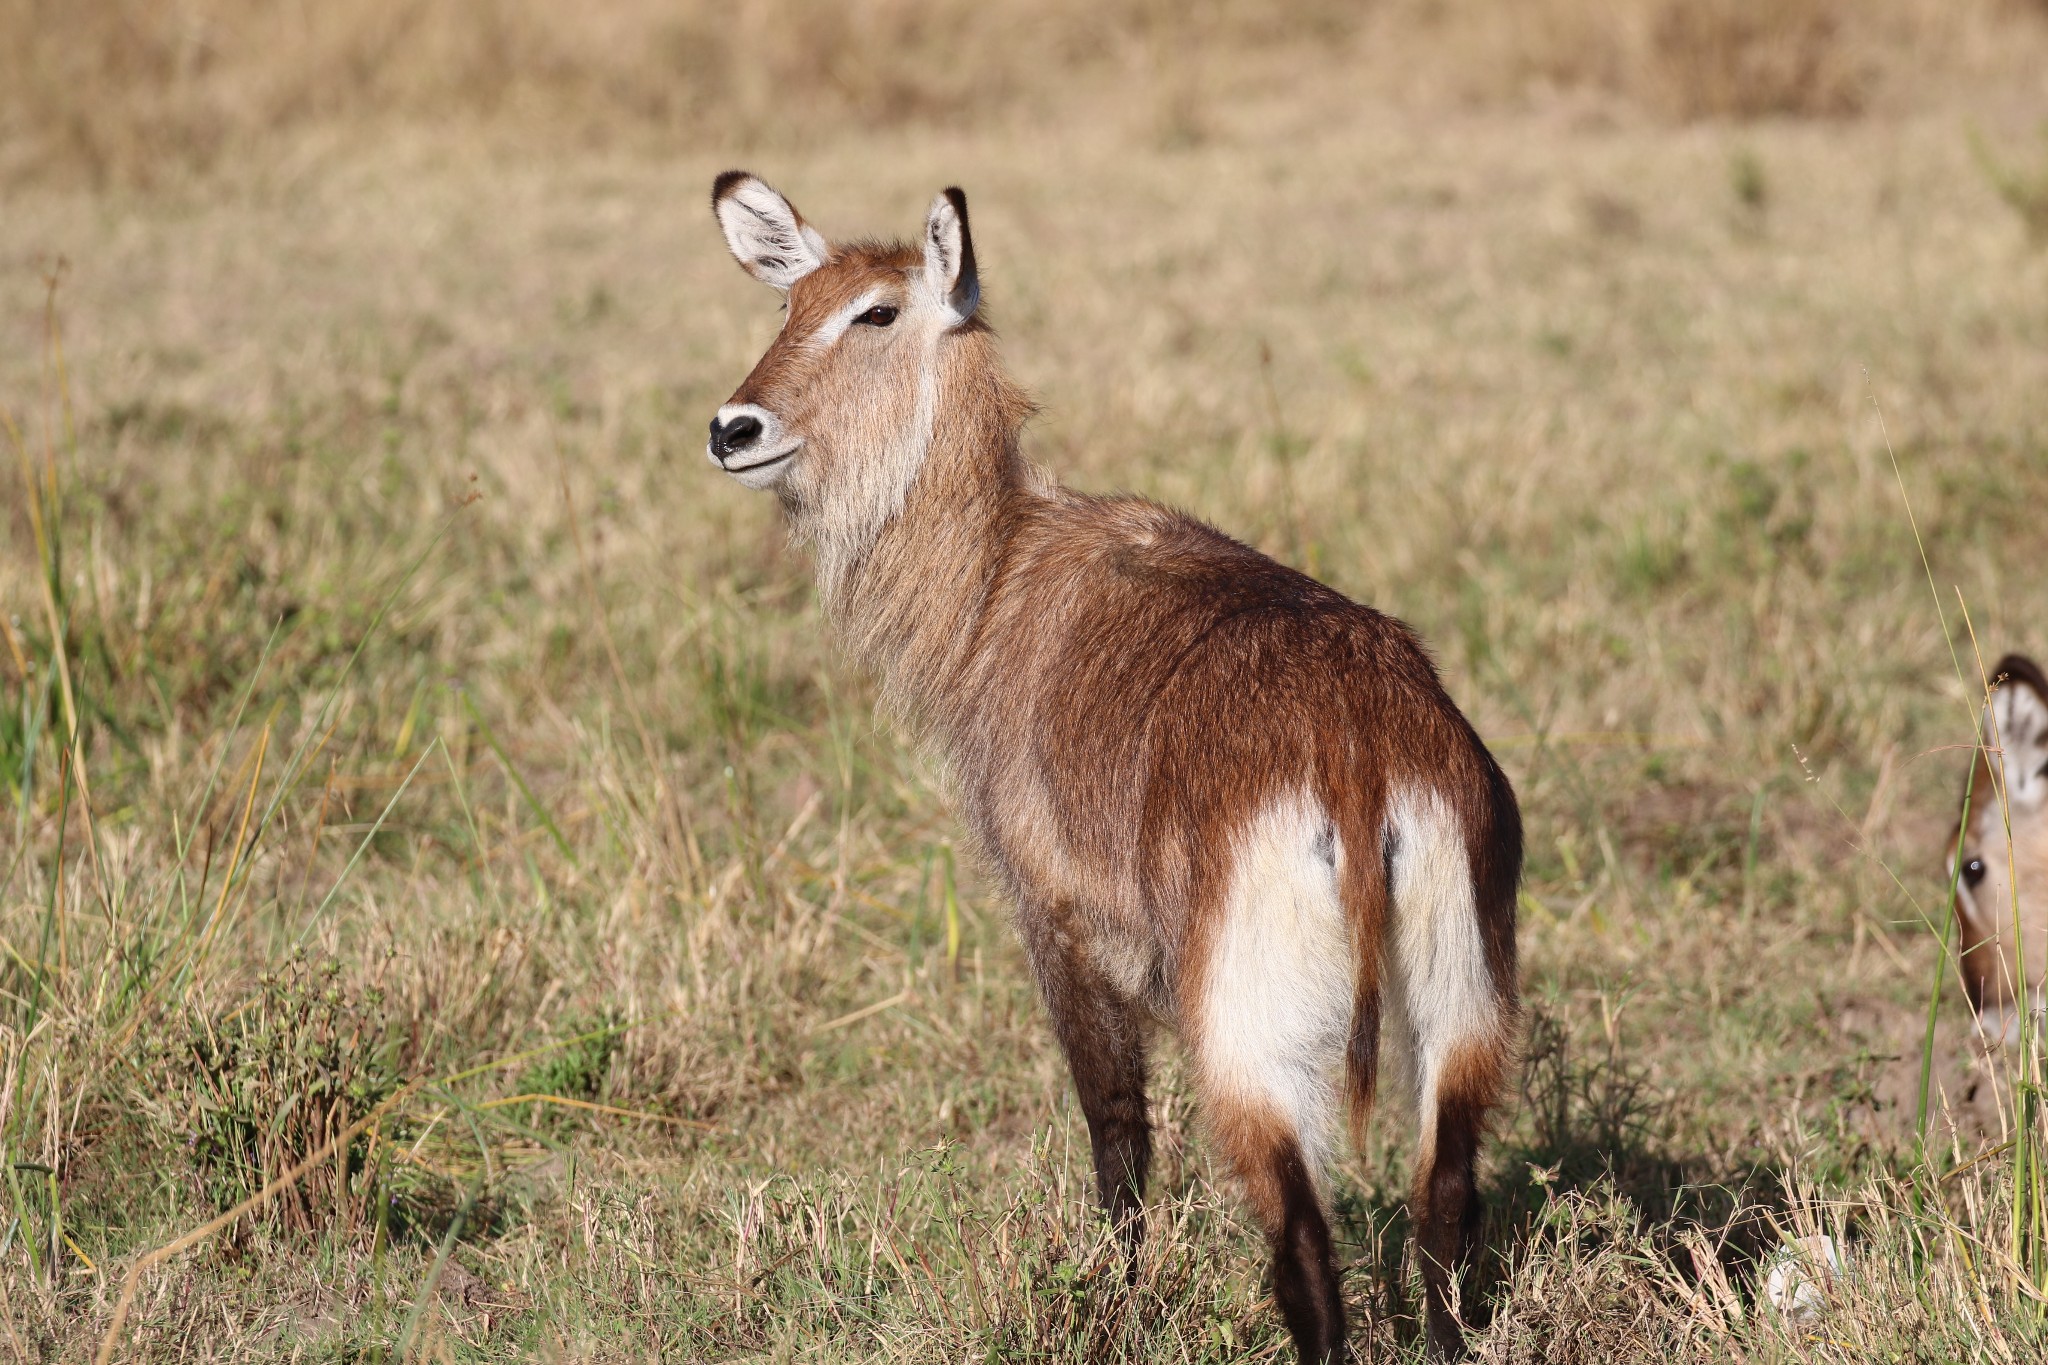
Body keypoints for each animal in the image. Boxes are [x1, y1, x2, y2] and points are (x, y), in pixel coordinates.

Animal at [704, 170, 1523, 1358]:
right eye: (785, 305)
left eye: (876, 312)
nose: (732, 428)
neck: (998, 577)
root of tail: (1361, 752)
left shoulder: (1054, 924)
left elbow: (1117, 1136)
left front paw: (1109, 1306)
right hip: (1463, 1013)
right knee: (1445, 1211)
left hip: (1252, 1041)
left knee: (1302, 1250)